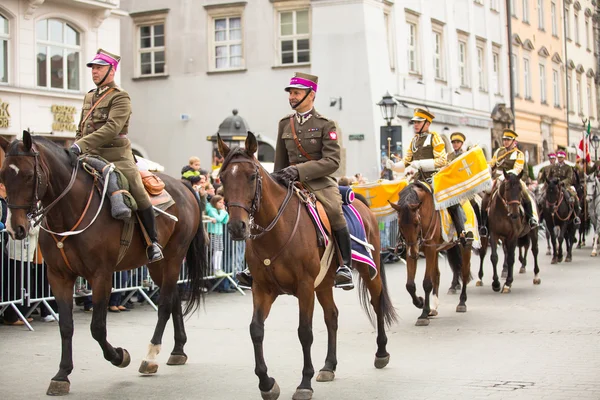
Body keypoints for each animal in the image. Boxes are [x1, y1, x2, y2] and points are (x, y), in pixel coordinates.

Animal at [0, 132, 209, 396]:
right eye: (3, 175)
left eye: (29, 175)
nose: (14, 228)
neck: (70, 210)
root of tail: (183, 186)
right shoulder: (58, 276)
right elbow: (66, 326)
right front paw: (62, 375)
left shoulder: (101, 275)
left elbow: (97, 327)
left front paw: (119, 356)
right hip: (156, 266)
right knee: (172, 300)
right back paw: (177, 350)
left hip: (173, 258)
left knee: (164, 305)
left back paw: (150, 356)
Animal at [217, 132, 398, 400]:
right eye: (222, 179)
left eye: (251, 176)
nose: (237, 227)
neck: (276, 231)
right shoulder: (262, 289)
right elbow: (256, 330)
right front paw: (266, 383)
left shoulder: (304, 287)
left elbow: (305, 332)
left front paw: (304, 383)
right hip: (323, 284)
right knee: (332, 316)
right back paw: (329, 366)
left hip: (369, 271)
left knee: (377, 304)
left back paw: (381, 353)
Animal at [392, 181, 476, 324]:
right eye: (400, 224)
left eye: (416, 222)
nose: (414, 253)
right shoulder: (415, 251)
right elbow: (410, 285)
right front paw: (420, 303)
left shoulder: (429, 249)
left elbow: (427, 283)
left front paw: (423, 314)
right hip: (437, 251)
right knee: (437, 274)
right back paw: (434, 307)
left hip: (465, 246)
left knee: (464, 272)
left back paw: (461, 302)